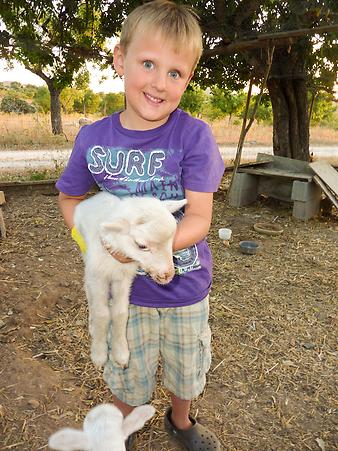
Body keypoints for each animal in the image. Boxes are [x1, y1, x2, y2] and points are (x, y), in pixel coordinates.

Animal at [73, 192, 187, 370]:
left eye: (172, 238)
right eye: (141, 246)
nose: (168, 275)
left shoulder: (123, 279)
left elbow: (120, 313)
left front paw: (121, 354)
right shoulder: (98, 276)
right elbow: (102, 314)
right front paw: (99, 353)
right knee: (88, 290)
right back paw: (92, 323)